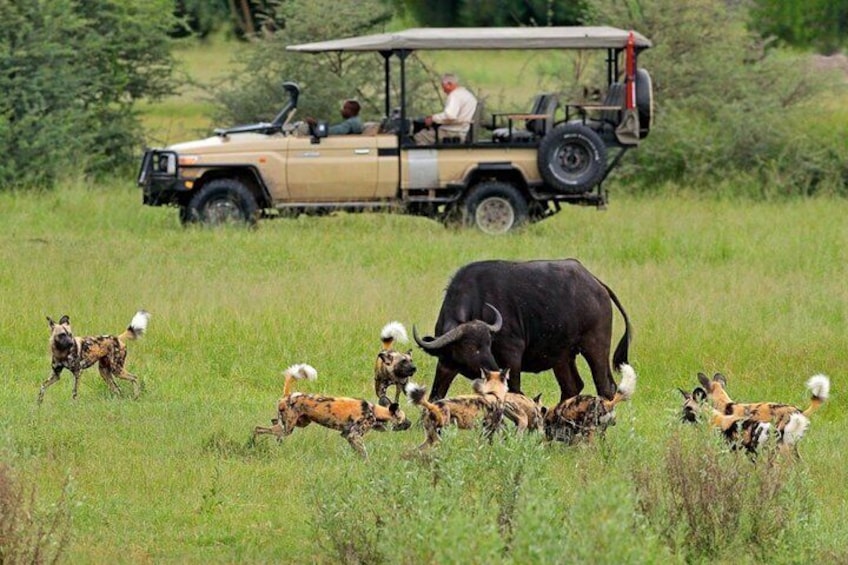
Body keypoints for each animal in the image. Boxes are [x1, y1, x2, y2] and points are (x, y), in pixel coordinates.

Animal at [413, 259, 632, 403]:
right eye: (469, 347)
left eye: (488, 344)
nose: (492, 368)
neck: (479, 301)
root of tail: (597, 284)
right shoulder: (446, 364)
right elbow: (435, 396)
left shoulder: (512, 356)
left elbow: (515, 391)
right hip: (562, 357)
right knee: (572, 387)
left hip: (596, 346)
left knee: (606, 387)